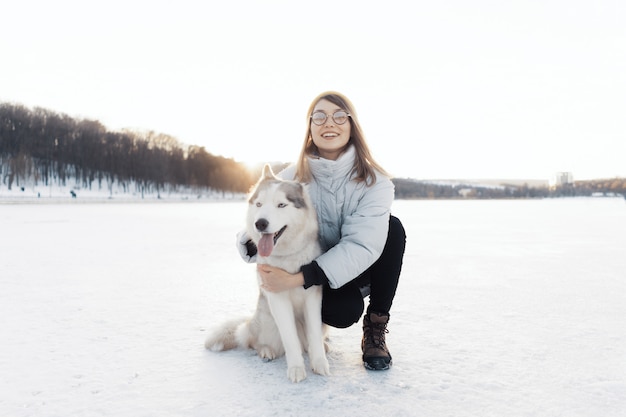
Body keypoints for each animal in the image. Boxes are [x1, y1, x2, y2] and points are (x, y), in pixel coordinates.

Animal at [206, 162, 332, 380]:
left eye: (281, 205)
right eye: (259, 205)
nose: (260, 223)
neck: (288, 258)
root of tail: (251, 321)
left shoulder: (313, 298)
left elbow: (314, 335)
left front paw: (319, 362)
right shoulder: (277, 299)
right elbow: (289, 339)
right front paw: (296, 368)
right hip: (267, 321)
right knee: (254, 341)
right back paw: (266, 350)